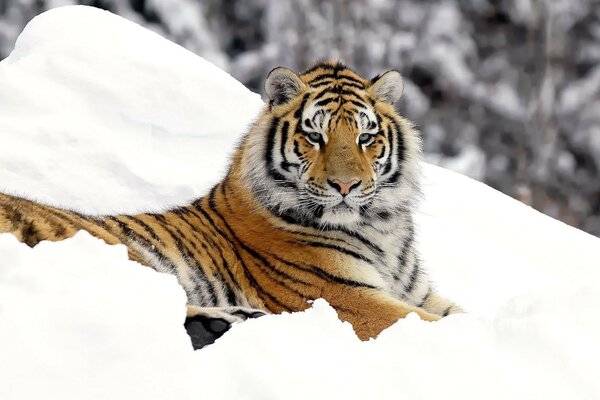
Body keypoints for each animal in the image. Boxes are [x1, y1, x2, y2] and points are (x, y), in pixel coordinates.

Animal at [0, 61, 460, 348]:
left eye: (366, 138)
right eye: (315, 136)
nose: (345, 185)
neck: (381, 228)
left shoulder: (421, 294)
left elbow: (460, 315)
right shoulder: (347, 298)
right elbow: (440, 326)